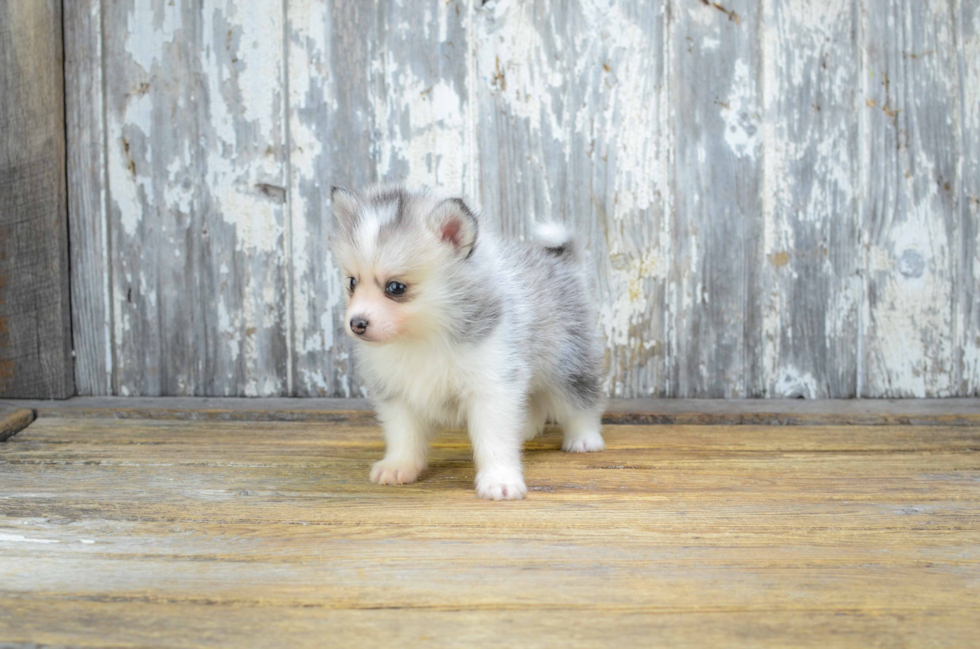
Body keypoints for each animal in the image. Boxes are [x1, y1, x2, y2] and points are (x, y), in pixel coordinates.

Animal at [332, 184, 604, 502]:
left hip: (568, 362)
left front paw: (500, 480)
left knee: (581, 401)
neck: (422, 337)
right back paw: (525, 429)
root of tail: (561, 259)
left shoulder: (491, 384)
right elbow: (403, 434)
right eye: (352, 282)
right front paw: (399, 466)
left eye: (396, 287)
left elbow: (494, 439)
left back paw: (584, 438)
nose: (357, 324)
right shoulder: (395, 392)